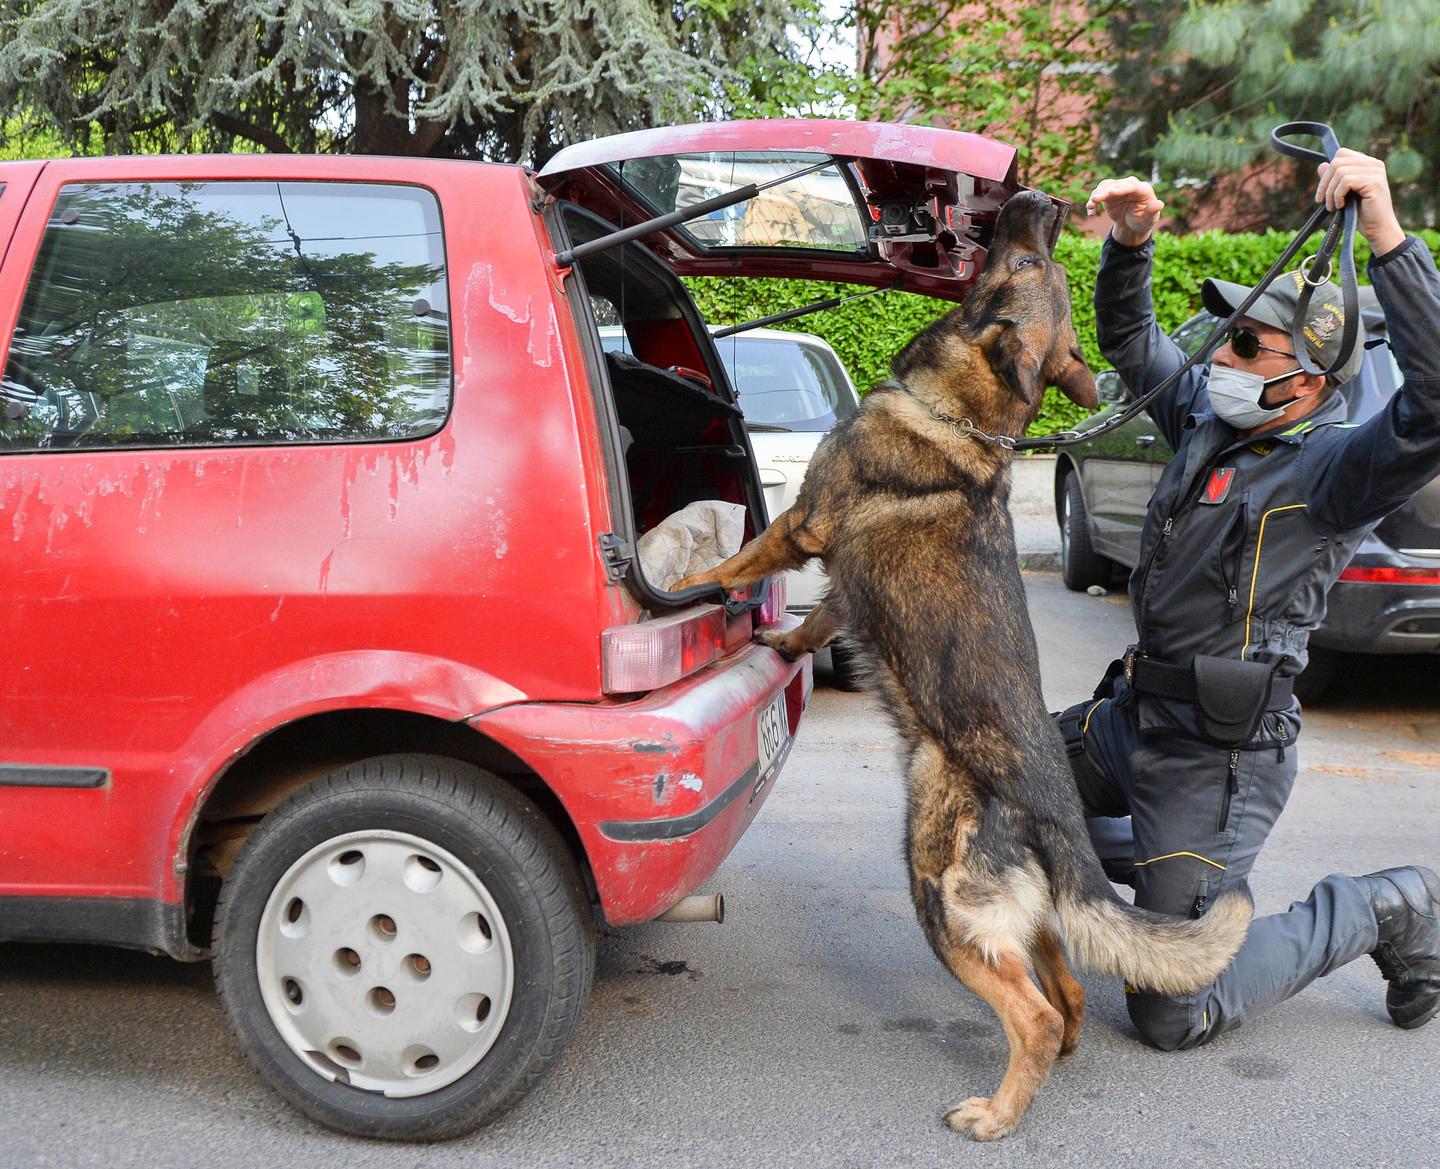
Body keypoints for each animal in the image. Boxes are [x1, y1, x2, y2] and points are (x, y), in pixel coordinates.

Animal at [673, 191, 1249, 1140]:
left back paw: (996, 1114)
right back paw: (1050, 1069)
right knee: (1067, 993)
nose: (1050, 203)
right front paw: (780, 642)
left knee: (1038, 1010)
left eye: (1026, 264)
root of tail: (1063, 826)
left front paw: (675, 585)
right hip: (1018, 921)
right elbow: (817, 617)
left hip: (939, 891)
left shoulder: (802, 525)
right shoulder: (843, 579)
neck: (964, 417)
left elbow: (734, 562)